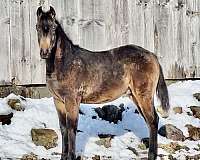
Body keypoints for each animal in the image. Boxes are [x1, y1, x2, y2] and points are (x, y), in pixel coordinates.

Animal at [36, 6, 170, 160]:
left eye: (53, 28)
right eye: (37, 27)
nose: (44, 52)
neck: (65, 63)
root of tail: (153, 56)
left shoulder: (72, 100)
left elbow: (71, 129)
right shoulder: (58, 101)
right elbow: (63, 128)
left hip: (144, 96)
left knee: (153, 121)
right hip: (135, 97)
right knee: (150, 122)